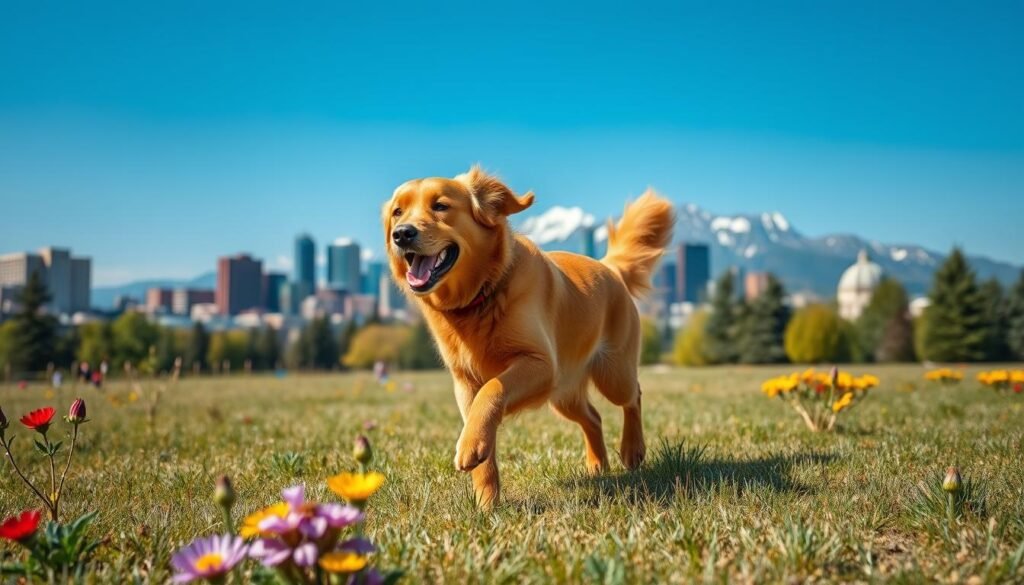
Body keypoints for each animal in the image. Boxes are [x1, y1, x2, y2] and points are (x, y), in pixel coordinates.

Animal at [380, 165, 675, 508]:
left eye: (440, 206)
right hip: (563, 394)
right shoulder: (465, 383)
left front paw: (469, 448)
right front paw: (486, 502)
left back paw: (632, 449)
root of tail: (609, 267)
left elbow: (493, 389)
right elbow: (482, 429)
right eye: (397, 212)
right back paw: (597, 465)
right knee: (594, 417)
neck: (481, 296)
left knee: (633, 396)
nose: (401, 234)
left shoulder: (540, 364)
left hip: (612, 374)